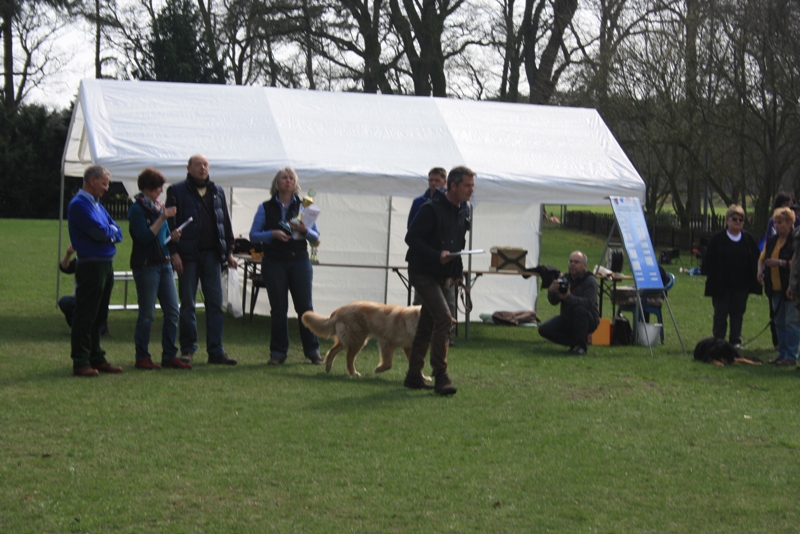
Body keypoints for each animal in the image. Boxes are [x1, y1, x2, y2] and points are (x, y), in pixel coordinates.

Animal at [302, 301, 433, 378]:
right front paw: (378, 369)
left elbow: (417, 364)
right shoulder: (386, 342)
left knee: (333, 350)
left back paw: (328, 367)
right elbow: (388, 363)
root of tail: (338, 313)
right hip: (358, 340)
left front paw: (423, 377)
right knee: (349, 357)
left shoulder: (409, 347)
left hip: (348, 340)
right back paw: (353, 373)